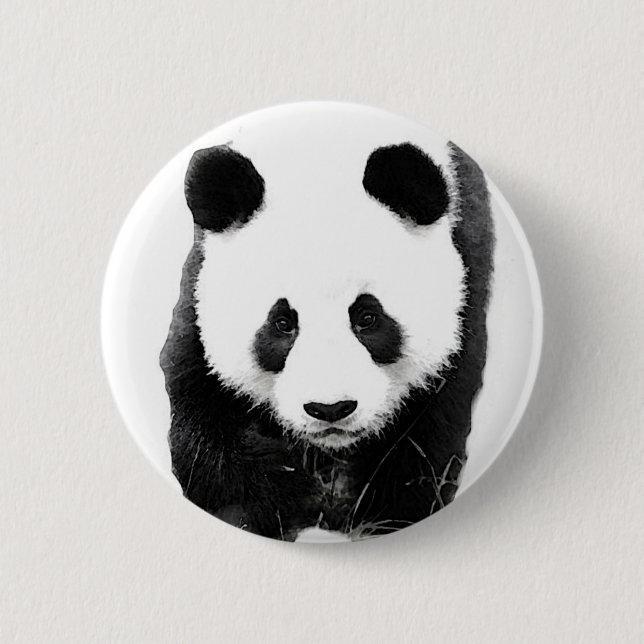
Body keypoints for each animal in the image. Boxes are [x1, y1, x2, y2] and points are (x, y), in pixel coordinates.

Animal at [160, 134, 494, 541]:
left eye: (367, 318)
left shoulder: (467, 276)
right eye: (282, 323)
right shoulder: (198, 297)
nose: (331, 409)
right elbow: (206, 425)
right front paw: (282, 497)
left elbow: (425, 438)